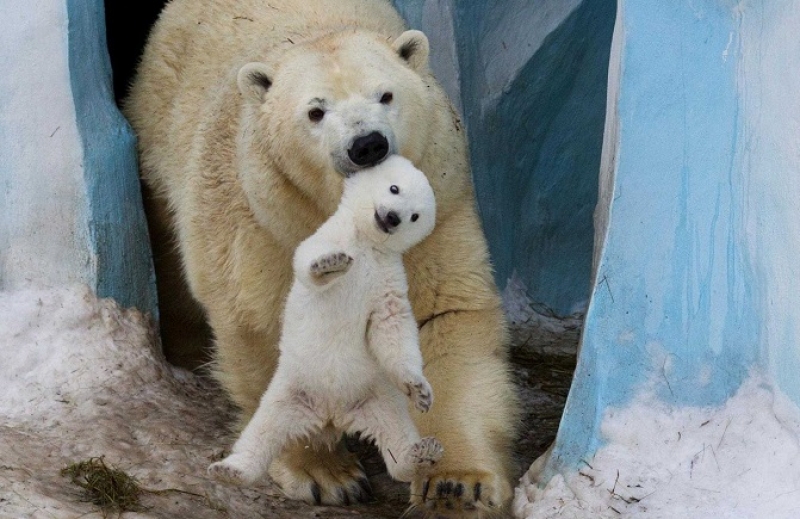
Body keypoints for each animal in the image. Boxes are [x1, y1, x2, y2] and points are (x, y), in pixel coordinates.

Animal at [122, 0, 516, 516]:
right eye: (315, 111)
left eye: (385, 94)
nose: (367, 144)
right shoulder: (267, 221)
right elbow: (267, 326)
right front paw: (325, 474)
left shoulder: (439, 204)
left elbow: (443, 314)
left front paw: (457, 484)